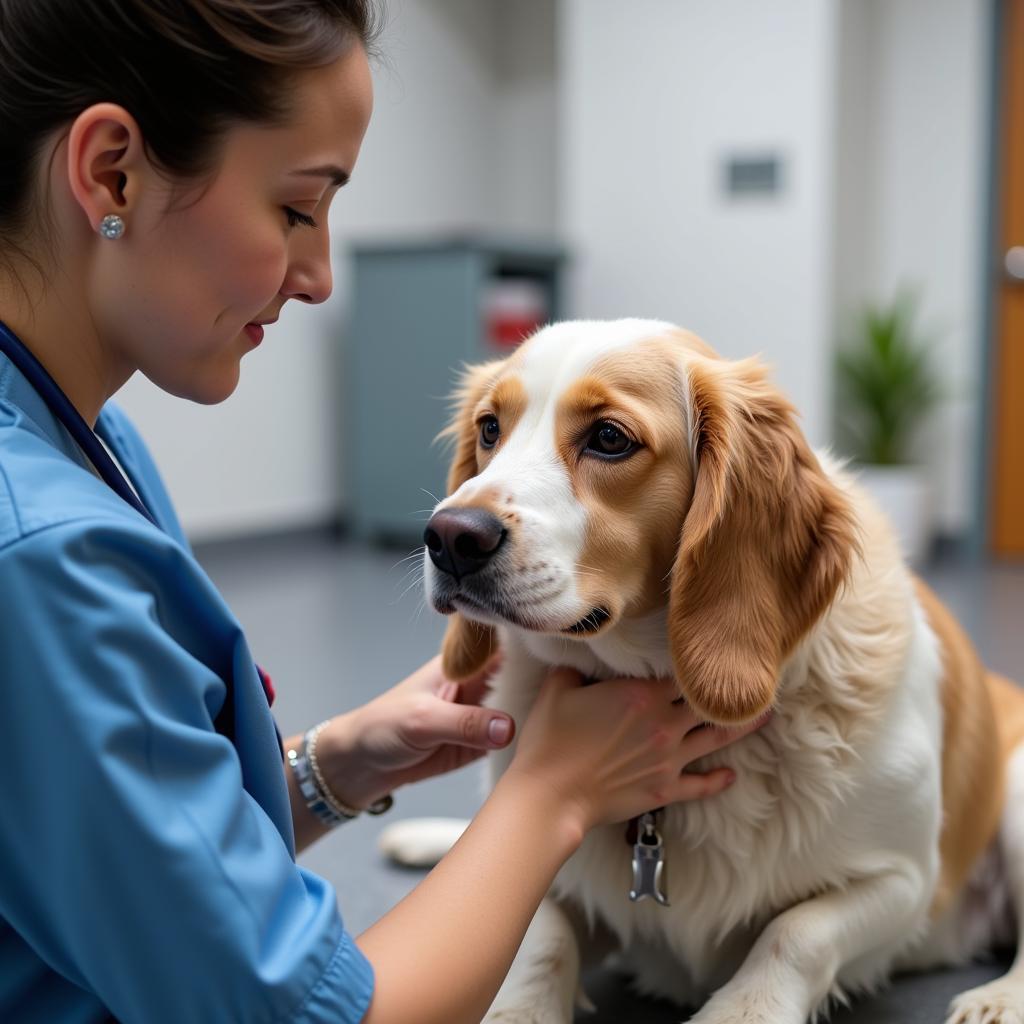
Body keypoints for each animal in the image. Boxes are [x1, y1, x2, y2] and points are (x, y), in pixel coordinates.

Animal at [401, 315, 1024, 1019]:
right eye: (489, 429)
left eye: (609, 439)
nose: (450, 537)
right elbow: (543, 935)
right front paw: (522, 1006)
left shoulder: (905, 880)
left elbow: (796, 932)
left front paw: (743, 1008)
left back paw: (1001, 997)